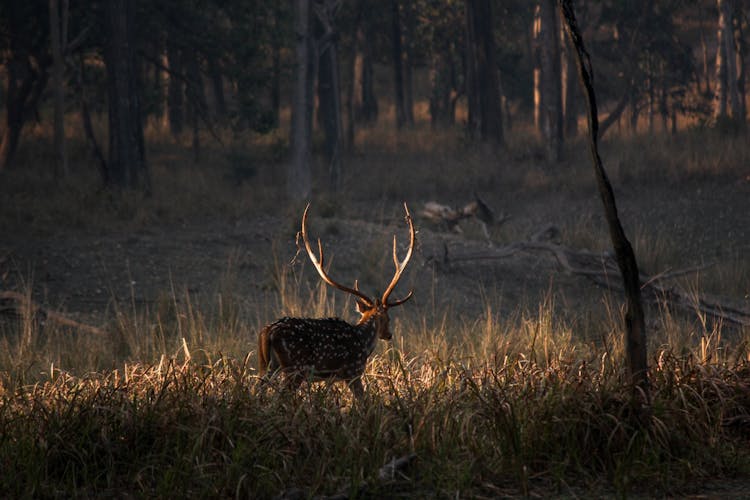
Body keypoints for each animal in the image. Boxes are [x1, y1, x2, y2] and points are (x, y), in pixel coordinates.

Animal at [256, 203, 414, 398]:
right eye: (388, 318)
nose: (389, 334)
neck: (364, 343)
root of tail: (267, 333)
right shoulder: (353, 371)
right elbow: (363, 400)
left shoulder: (331, 378)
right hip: (295, 368)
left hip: (266, 366)